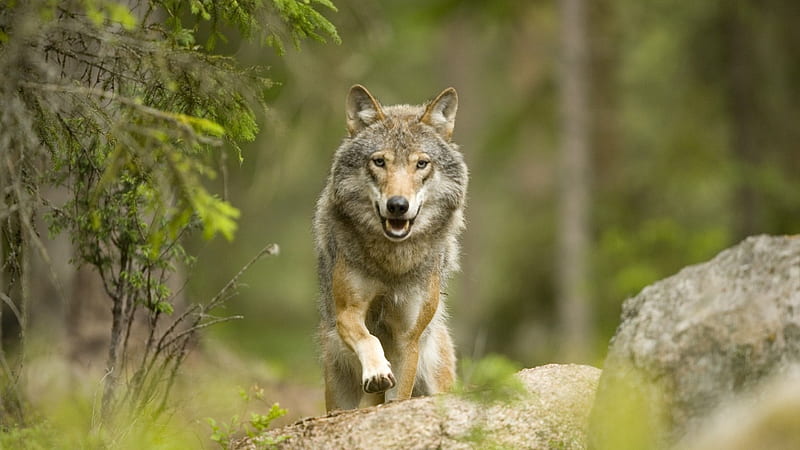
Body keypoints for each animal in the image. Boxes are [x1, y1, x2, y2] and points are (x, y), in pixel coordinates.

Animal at [314, 84, 468, 412]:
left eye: (421, 163)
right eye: (379, 161)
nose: (398, 205)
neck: (393, 263)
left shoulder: (408, 338)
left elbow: (399, 396)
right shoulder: (348, 312)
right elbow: (369, 340)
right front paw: (376, 371)